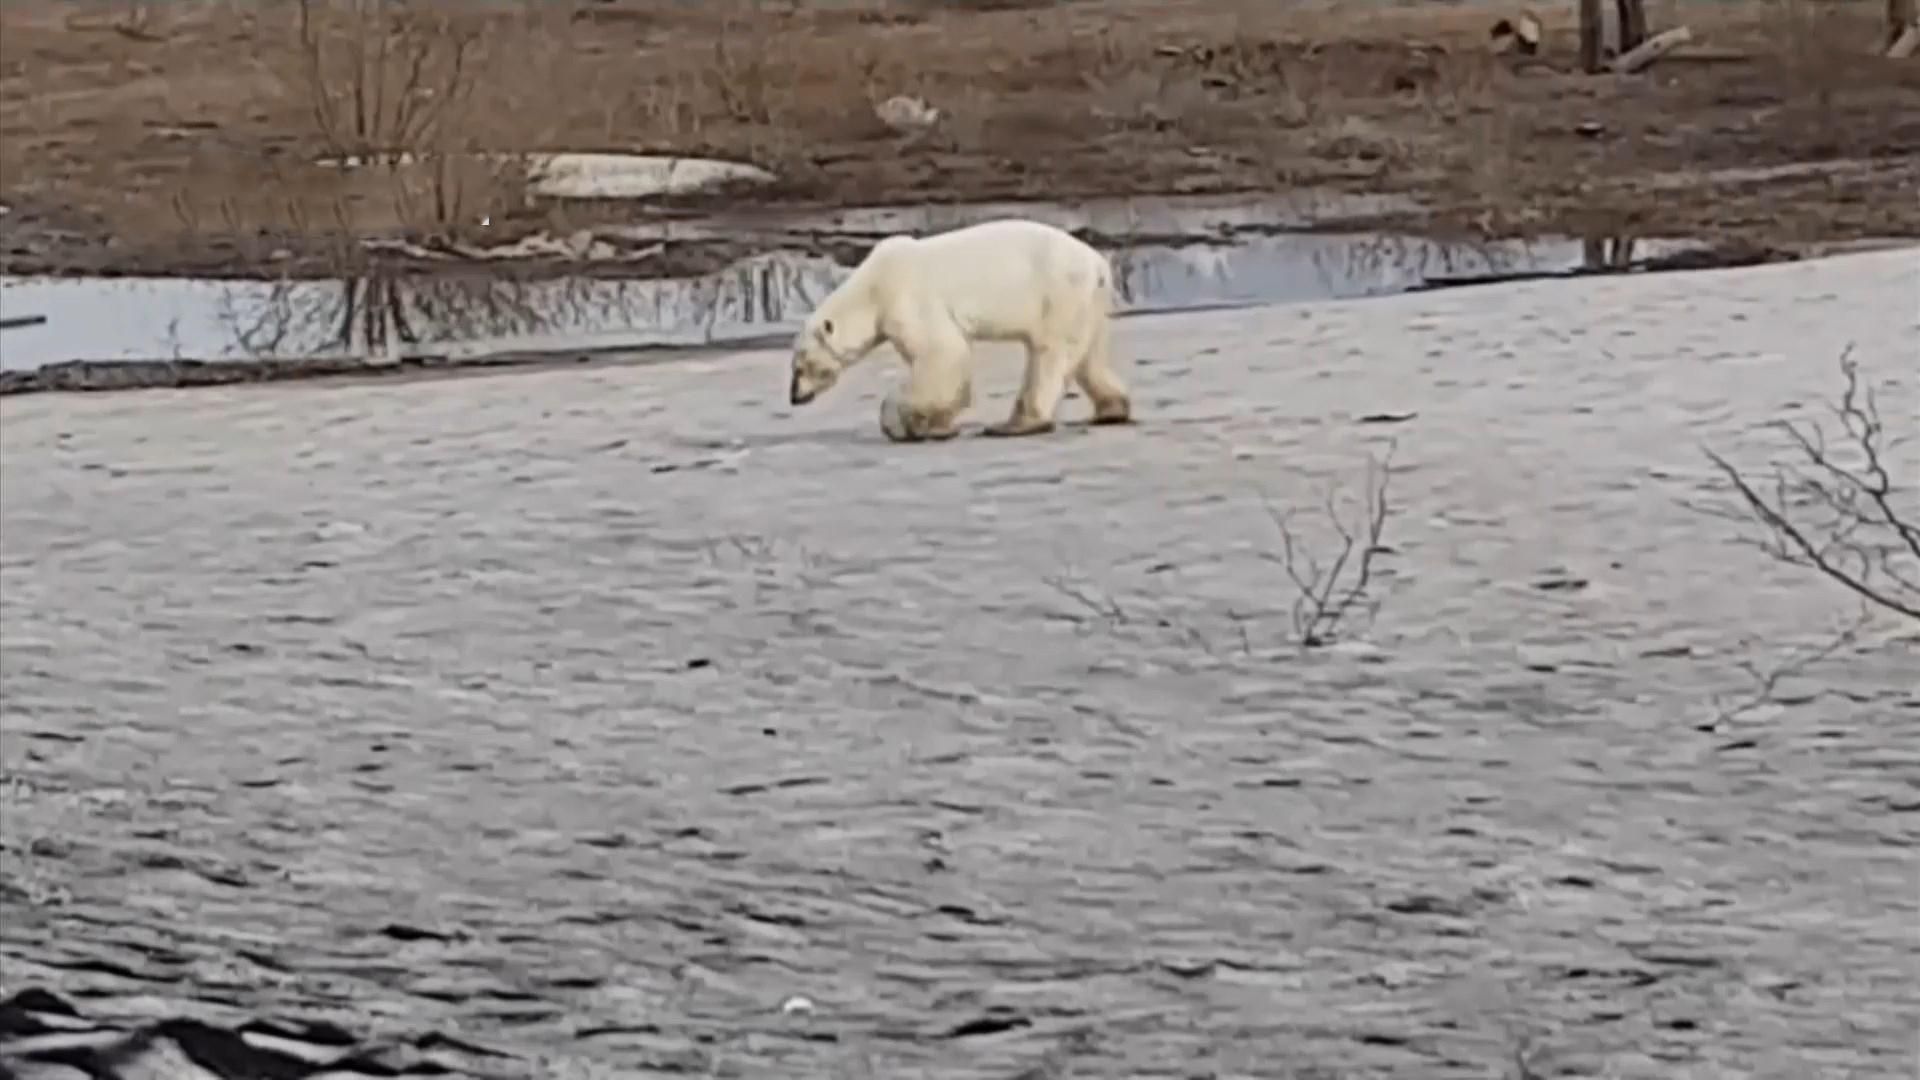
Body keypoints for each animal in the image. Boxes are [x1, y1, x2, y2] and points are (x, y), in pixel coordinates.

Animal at [787, 216, 1128, 440]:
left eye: (800, 366)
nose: (793, 397)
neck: (871, 287)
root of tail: (1098, 263)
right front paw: (936, 424)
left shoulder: (906, 298)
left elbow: (941, 352)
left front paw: (902, 423)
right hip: (1089, 302)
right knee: (1088, 357)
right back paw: (1112, 410)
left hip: (1058, 293)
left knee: (1049, 353)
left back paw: (1013, 425)